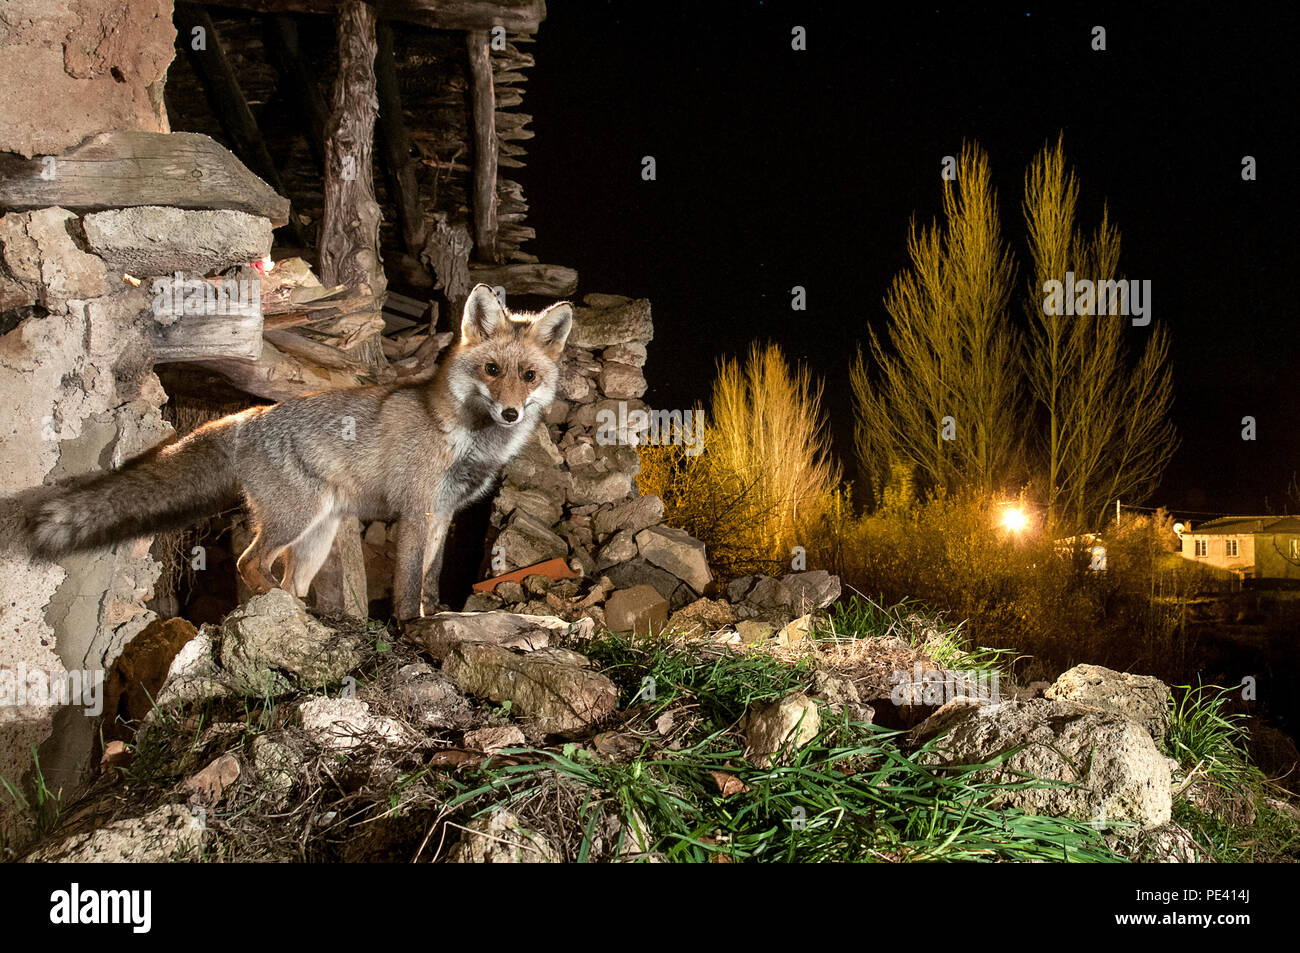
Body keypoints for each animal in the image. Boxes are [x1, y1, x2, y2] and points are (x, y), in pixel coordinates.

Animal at [17, 284, 573, 622]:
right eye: (491, 370)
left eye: (528, 376)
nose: (510, 414)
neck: (463, 437)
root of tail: (245, 417)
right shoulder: (416, 513)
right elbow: (408, 580)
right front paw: (408, 626)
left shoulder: (442, 516)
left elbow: (430, 581)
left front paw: (433, 617)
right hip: (294, 520)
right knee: (248, 565)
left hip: (316, 537)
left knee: (287, 582)